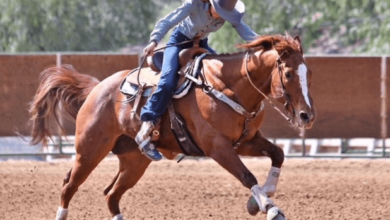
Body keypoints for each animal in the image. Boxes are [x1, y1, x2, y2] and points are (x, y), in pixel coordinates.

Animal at [30, 33, 316, 219]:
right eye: (288, 73)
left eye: (309, 73)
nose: (307, 116)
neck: (226, 87)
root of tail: (96, 88)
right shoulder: (218, 147)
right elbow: (247, 176)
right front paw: (270, 208)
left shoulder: (246, 141)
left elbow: (278, 154)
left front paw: (259, 200)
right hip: (89, 151)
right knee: (69, 186)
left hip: (134, 161)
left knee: (112, 195)